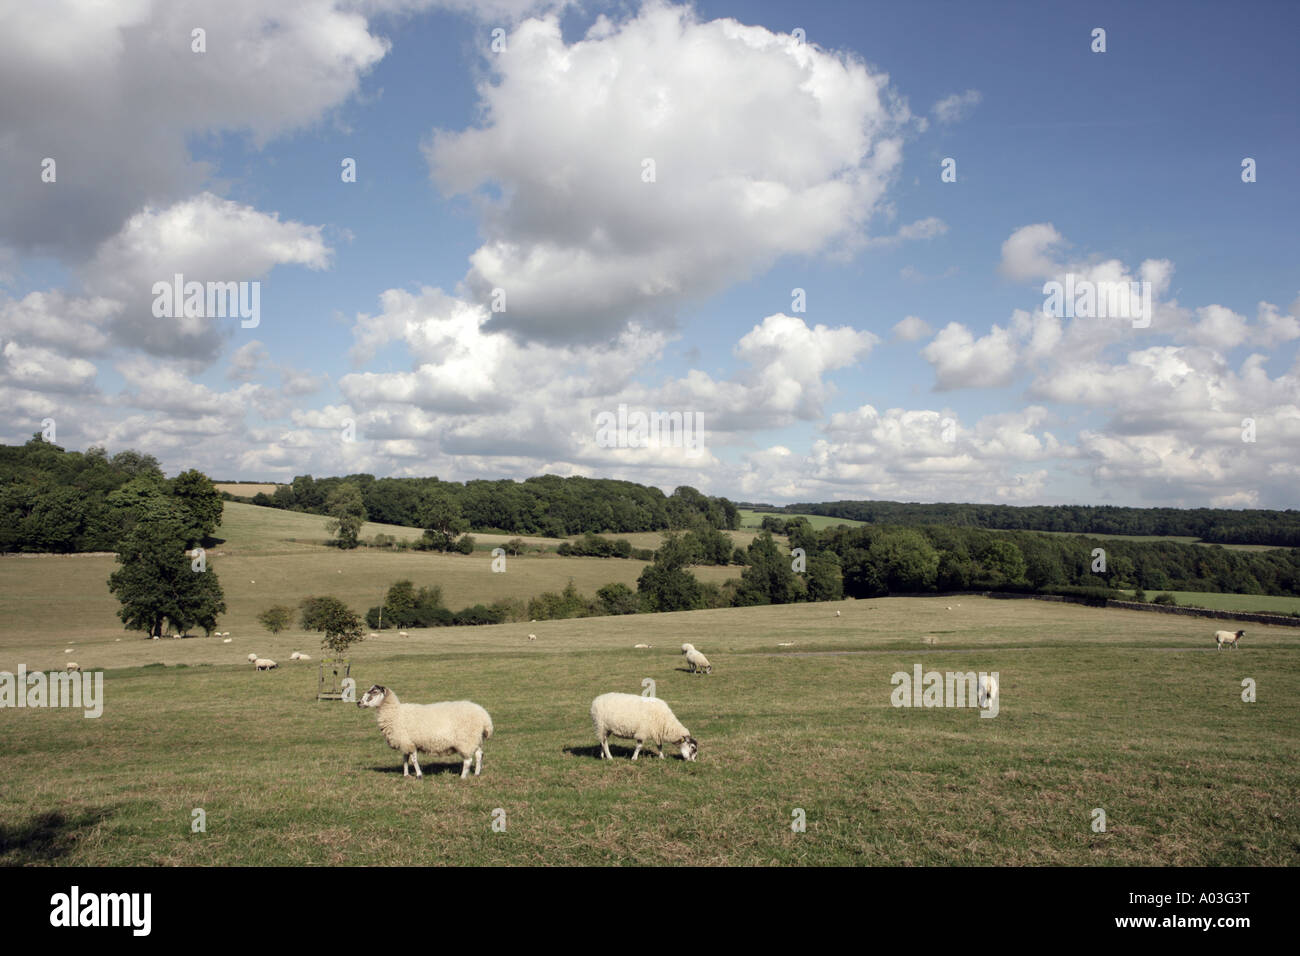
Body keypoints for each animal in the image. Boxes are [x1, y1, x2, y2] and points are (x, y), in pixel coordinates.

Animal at [358, 686, 493, 780]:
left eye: (374, 691)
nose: (358, 702)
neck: (395, 713)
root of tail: (485, 717)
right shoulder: (405, 741)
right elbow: (405, 758)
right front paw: (406, 775)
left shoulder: (410, 742)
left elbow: (413, 759)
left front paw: (419, 775)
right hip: (475, 739)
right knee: (479, 754)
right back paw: (476, 774)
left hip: (465, 740)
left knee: (468, 760)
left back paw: (463, 777)